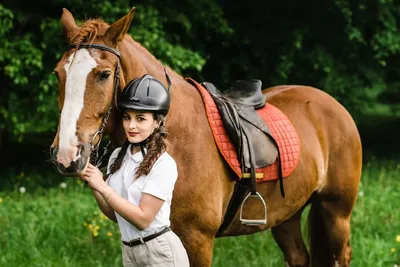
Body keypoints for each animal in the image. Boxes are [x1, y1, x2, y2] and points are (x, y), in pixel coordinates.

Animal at [49, 7, 362, 266]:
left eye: (103, 75)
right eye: (57, 74)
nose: (66, 155)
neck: (175, 140)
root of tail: (331, 105)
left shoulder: (197, 241)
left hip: (336, 212)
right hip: (287, 215)